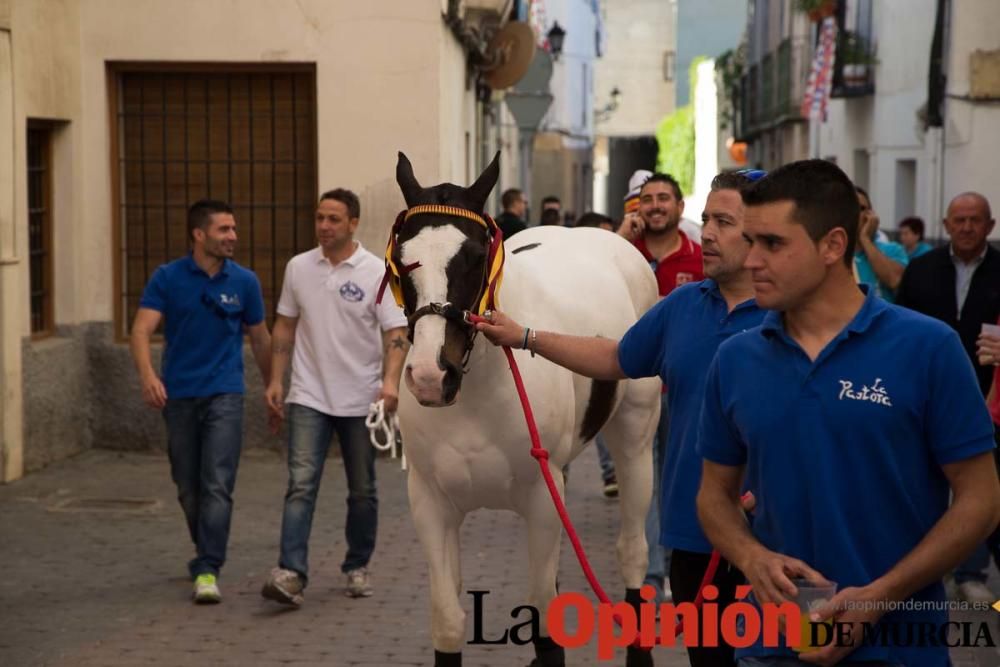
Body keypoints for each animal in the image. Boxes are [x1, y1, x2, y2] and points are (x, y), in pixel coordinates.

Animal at [390, 153, 664, 667]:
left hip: (636, 439)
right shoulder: (430, 502)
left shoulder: (540, 497)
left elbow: (544, 616)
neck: (477, 398)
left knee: (633, 550)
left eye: (475, 256)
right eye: (401, 258)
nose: (430, 375)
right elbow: (449, 619)